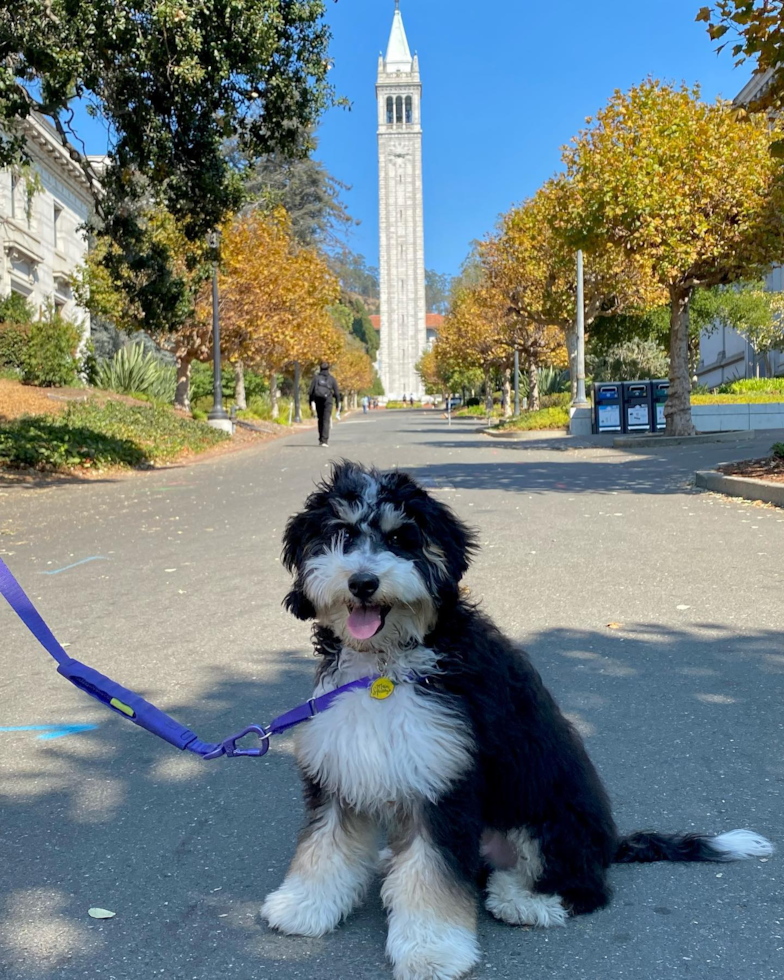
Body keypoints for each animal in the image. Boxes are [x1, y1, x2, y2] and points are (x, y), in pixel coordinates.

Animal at [262, 462, 772, 980]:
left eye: (402, 538)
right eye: (342, 534)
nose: (363, 582)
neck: (385, 666)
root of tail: (609, 845)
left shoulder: (445, 782)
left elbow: (431, 874)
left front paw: (432, 949)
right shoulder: (341, 761)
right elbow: (324, 845)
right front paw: (304, 906)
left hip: (546, 823)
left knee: (586, 889)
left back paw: (524, 901)